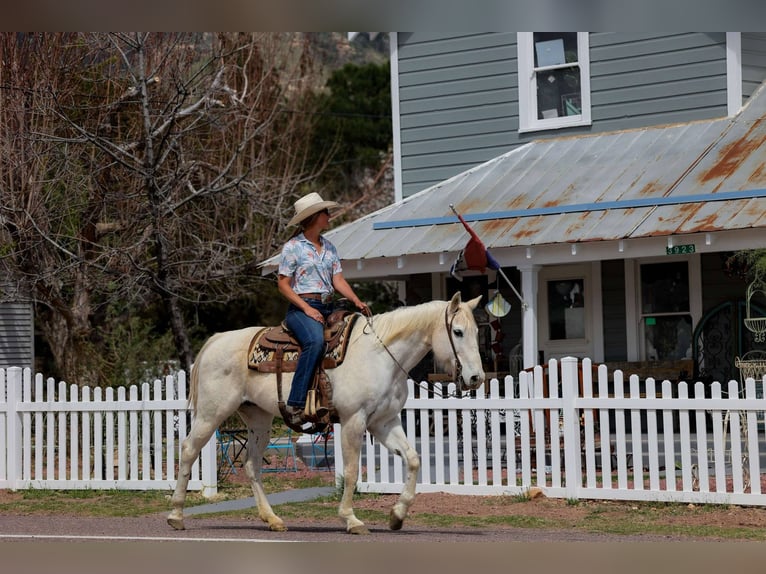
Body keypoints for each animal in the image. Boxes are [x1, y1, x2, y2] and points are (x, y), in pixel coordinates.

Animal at [167, 291, 485, 535]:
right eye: (457, 332)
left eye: (477, 332)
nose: (476, 378)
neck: (381, 356)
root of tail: (216, 340)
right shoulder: (354, 421)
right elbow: (352, 470)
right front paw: (352, 519)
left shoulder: (384, 422)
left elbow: (413, 459)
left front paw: (397, 515)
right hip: (211, 413)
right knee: (188, 450)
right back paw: (176, 515)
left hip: (258, 420)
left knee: (251, 465)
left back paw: (273, 519)